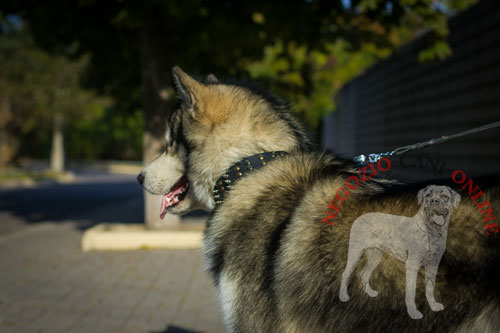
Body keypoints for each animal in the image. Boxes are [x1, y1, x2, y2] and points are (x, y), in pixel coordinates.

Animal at [340, 183, 460, 318]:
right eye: (428, 195)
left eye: (444, 196)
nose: (434, 201)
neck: (431, 232)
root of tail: (359, 217)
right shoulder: (412, 265)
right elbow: (411, 291)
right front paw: (413, 312)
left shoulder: (433, 265)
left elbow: (430, 287)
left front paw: (433, 305)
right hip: (355, 251)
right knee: (346, 273)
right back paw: (343, 296)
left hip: (375, 255)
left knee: (364, 273)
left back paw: (370, 292)